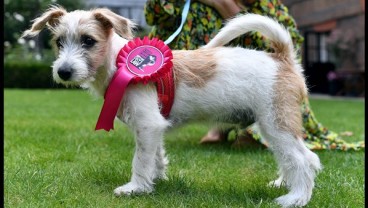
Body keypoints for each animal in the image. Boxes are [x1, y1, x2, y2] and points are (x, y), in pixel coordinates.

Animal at [23, 5, 322, 207]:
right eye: (59, 42)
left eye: (88, 40)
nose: (63, 72)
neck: (118, 62)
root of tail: (282, 58)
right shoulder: (152, 128)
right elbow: (155, 156)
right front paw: (155, 180)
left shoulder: (147, 125)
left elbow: (140, 160)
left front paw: (136, 188)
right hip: (270, 125)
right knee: (292, 158)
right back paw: (283, 184)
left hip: (277, 123)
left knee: (305, 159)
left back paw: (295, 198)